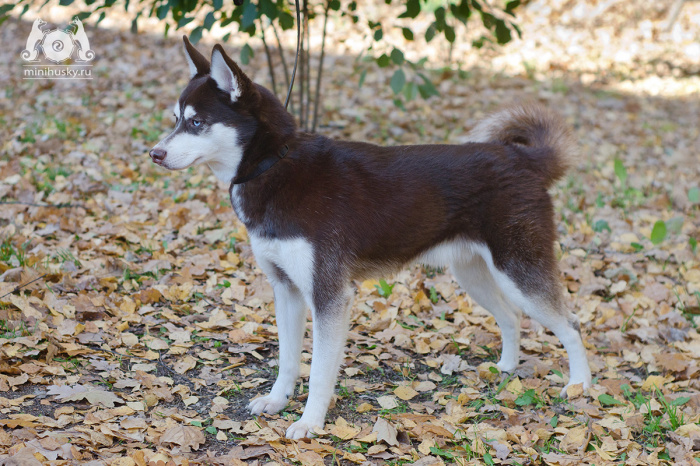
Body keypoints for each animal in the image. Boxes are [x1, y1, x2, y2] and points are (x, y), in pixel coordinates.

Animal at [152, 37, 592, 440]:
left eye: (195, 122)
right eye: (176, 118)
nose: (154, 154)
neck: (274, 164)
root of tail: (523, 159)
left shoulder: (329, 296)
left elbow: (319, 372)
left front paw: (310, 423)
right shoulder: (286, 289)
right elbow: (288, 360)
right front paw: (277, 401)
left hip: (519, 273)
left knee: (569, 324)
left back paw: (580, 386)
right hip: (476, 276)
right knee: (512, 317)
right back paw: (507, 367)